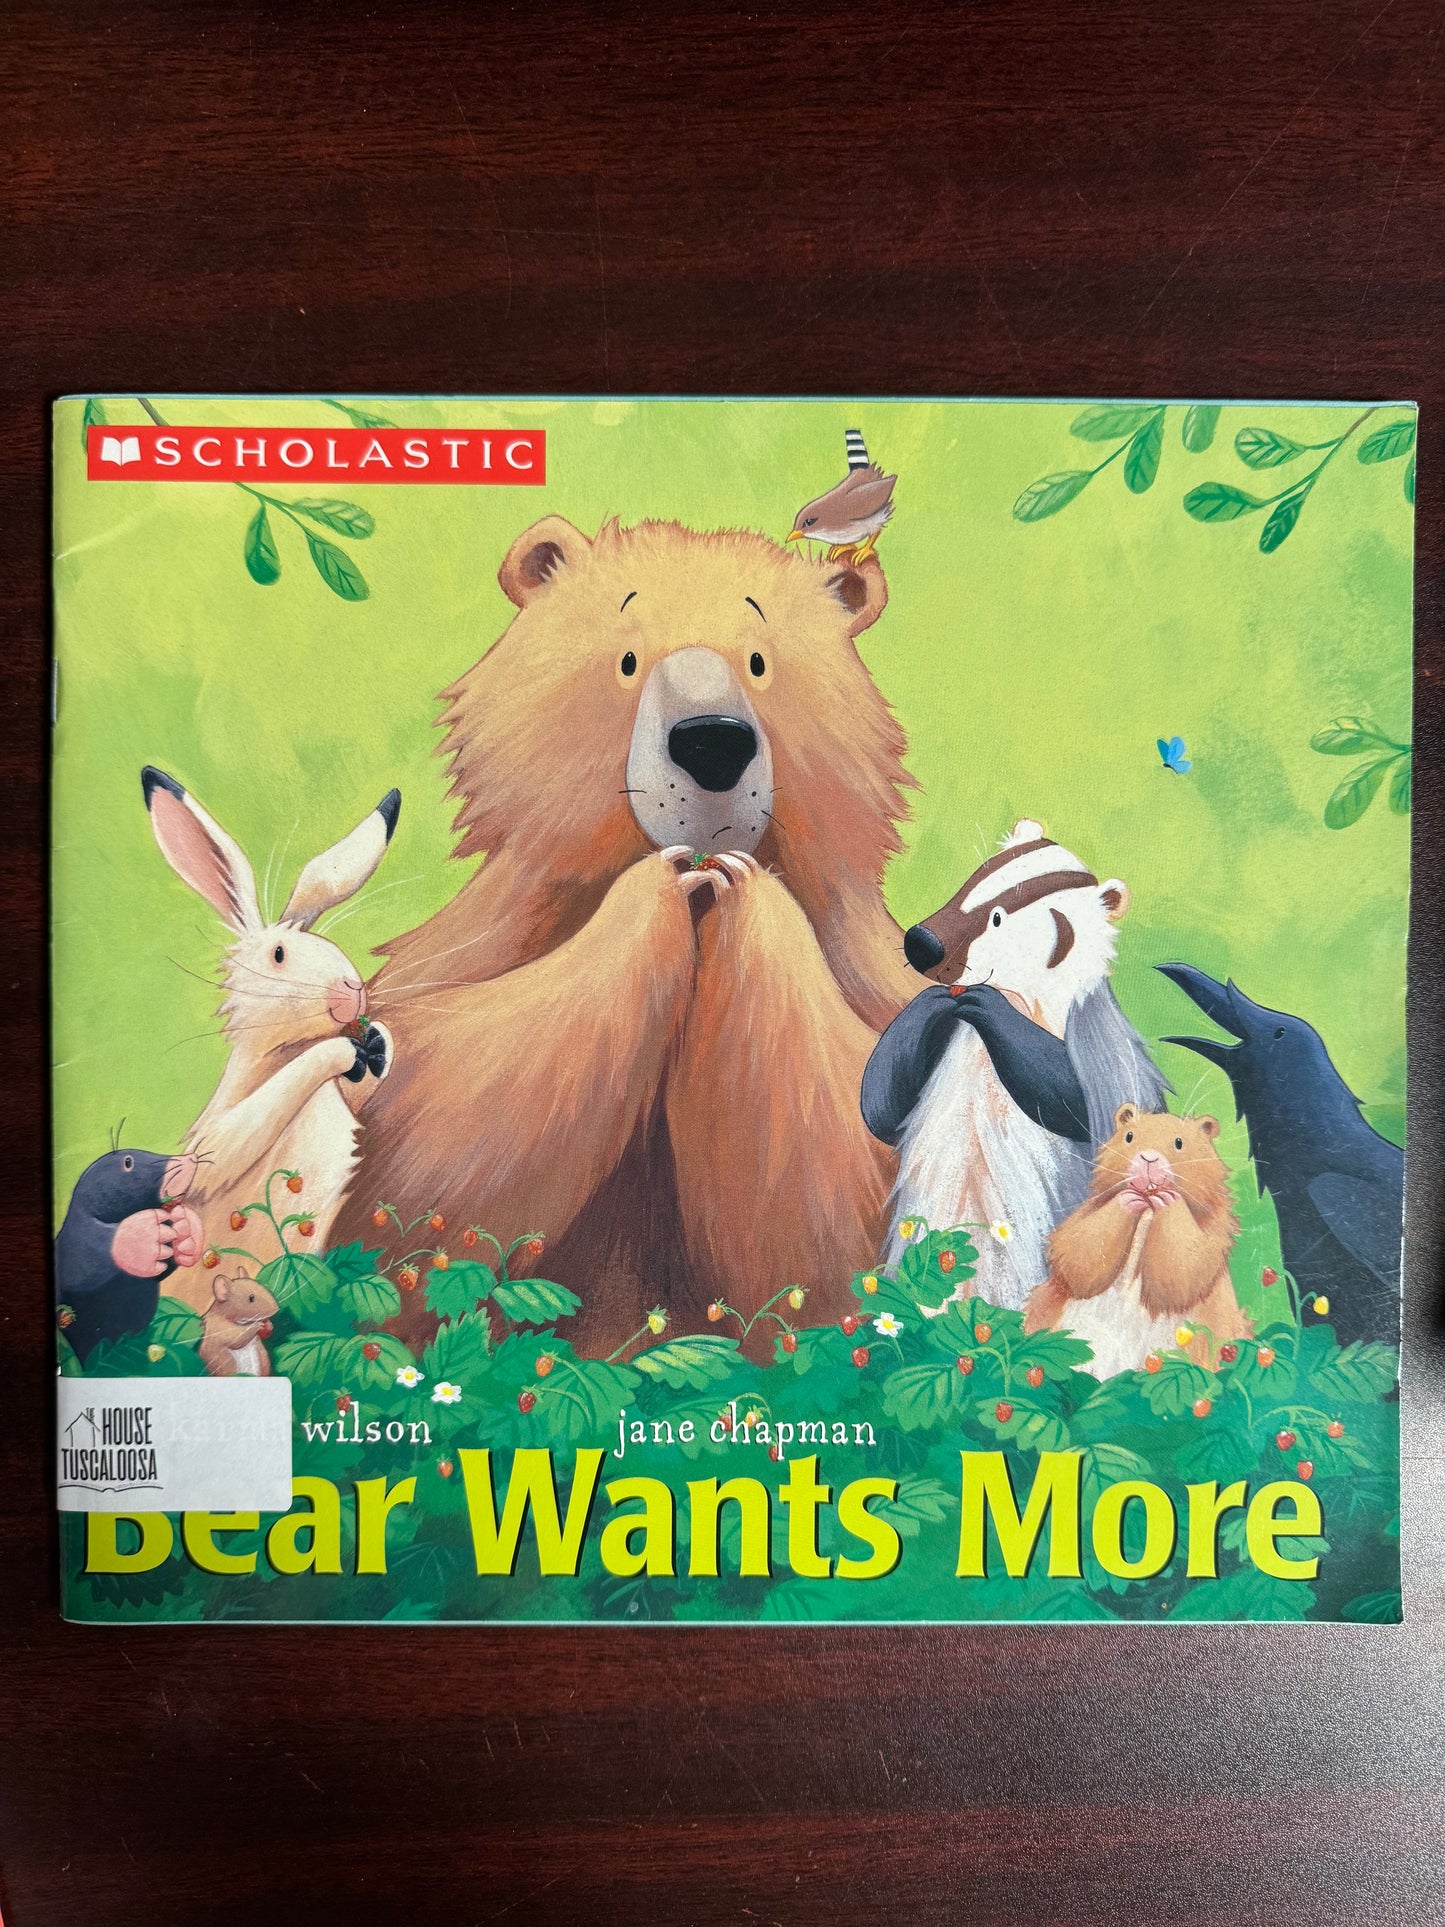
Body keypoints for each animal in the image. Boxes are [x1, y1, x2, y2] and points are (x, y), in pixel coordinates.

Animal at [338, 515, 914, 1354]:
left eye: (759, 661)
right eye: (627, 659)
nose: (712, 743)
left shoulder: (879, 977)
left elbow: (852, 1187)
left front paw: (745, 898)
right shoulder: (478, 945)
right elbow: (418, 1152)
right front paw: (655, 894)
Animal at [1023, 1105, 1251, 1377]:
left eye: (1179, 1143)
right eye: (1129, 1136)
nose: (1149, 1159)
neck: (1147, 1215)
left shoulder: (1210, 1238)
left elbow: (1184, 1270)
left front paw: (1166, 1198)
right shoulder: (1081, 1222)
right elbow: (1080, 1254)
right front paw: (1129, 1197)